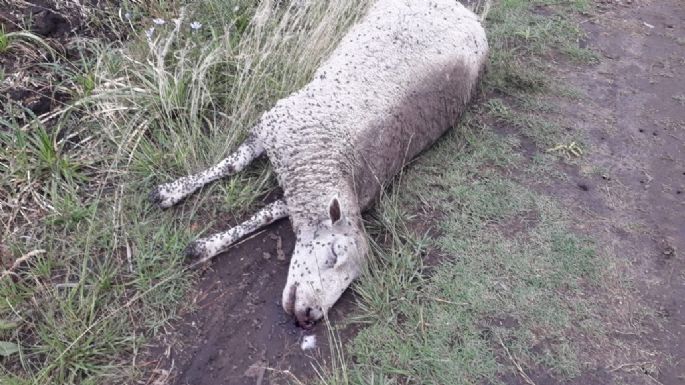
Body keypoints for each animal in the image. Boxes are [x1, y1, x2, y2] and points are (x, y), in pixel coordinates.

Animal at [152, 0, 488, 328]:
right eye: (334, 253)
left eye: (352, 280)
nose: (310, 316)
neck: (323, 166)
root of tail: (467, 12)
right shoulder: (271, 125)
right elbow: (234, 165)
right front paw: (173, 191)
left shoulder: (296, 188)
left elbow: (265, 213)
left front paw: (206, 245)